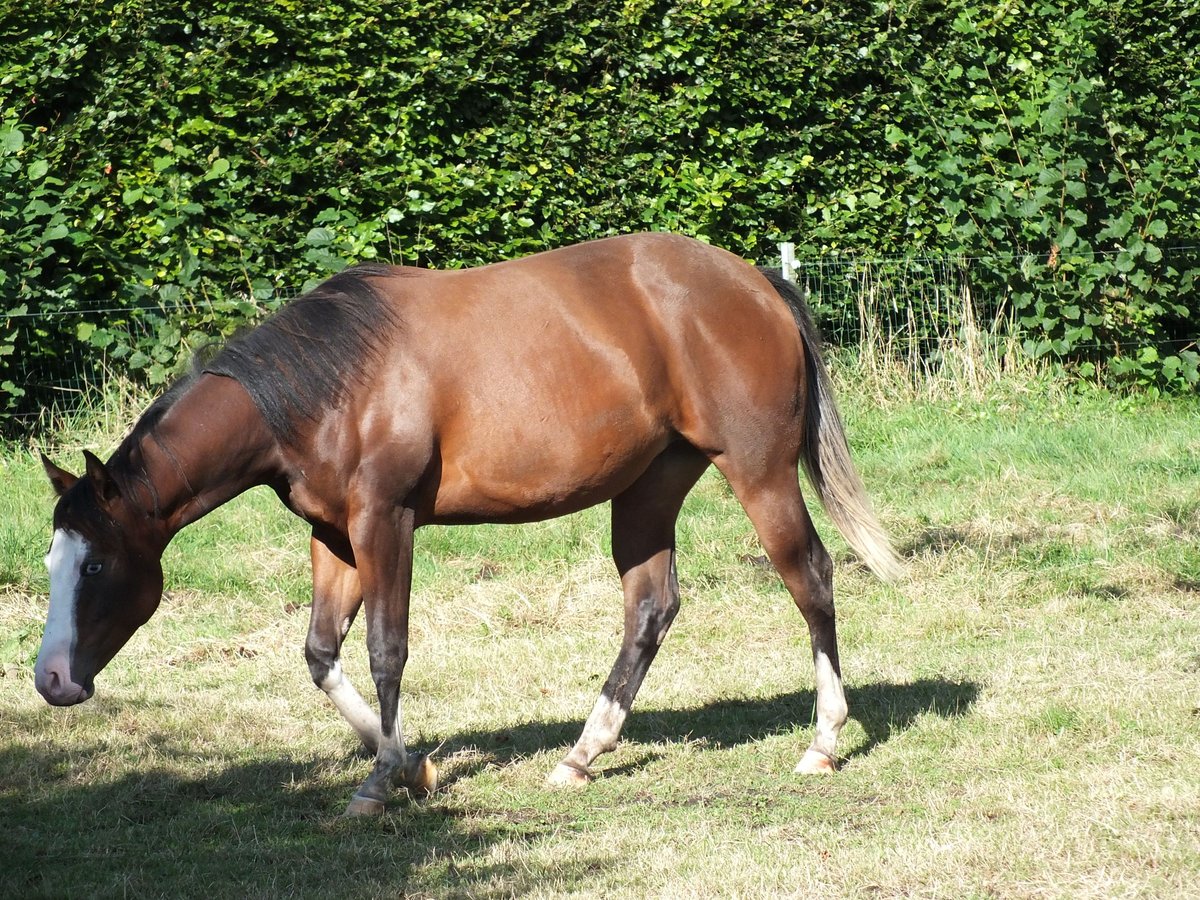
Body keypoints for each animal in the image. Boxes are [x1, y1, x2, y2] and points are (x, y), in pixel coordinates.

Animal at [35, 232, 902, 816]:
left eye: (99, 564)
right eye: (51, 561)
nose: (52, 680)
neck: (328, 382)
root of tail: (754, 280)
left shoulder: (386, 523)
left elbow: (386, 650)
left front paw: (382, 781)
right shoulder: (335, 536)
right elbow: (320, 654)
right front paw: (410, 766)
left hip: (759, 476)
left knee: (810, 578)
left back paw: (823, 743)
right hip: (649, 490)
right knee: (651, 608)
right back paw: (582, 755)